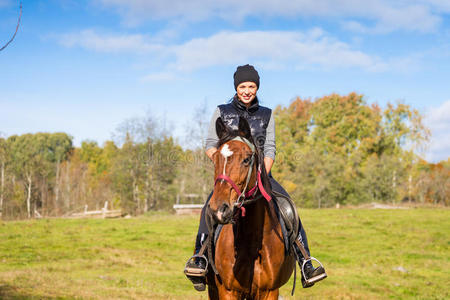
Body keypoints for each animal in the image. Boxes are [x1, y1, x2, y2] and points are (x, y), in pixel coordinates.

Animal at [205, 117, 296, 300]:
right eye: (215, 159)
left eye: (247, 159)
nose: (218, 210)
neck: (252, 244)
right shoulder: (227, 290)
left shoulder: (269, 292)